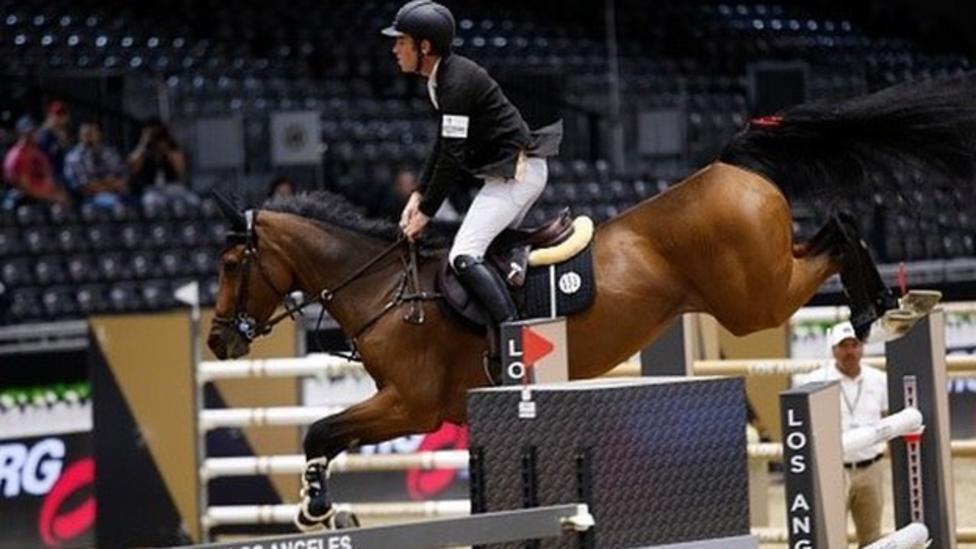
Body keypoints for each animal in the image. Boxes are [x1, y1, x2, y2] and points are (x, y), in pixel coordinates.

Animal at [206, 71, 976, 529]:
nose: (217, 339)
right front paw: (325, 510)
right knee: (835, 229)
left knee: (840, 229)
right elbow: (326, 435)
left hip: (755, 299)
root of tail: (727, 163)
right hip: (756, 286)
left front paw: (316, 509)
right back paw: (887, 302)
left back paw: (879, 306)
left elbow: (319, 431)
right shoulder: (409, 407)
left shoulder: (411, 405)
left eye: (231, 261)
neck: (384, 288)